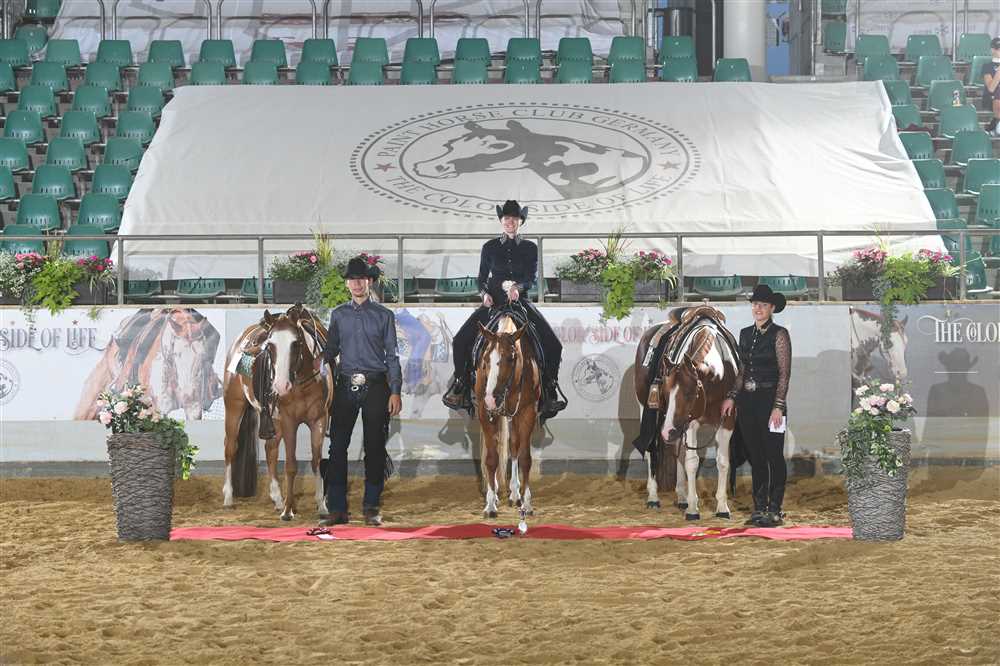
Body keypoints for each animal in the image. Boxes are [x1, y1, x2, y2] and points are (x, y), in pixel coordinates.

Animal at [222, 304, 334, 520]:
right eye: (270, 346)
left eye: (296, 343)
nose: (281, 386)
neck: (302, 383)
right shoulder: (289, 421)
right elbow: (290, 465)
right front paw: (288, 511)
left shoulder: (319, 419)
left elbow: (316, 461)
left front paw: (322, 505)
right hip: (234, 407)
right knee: (230, 447)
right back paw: (229, 498)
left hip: (274, 420)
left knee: (270, 450)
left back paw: (277, 498)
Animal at [474, 312, 541, 518]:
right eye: (485, 359)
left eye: (511, 358)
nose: (491, 399)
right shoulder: (484, 412)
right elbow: (491, 459)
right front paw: (490, 505)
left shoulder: (528, 411)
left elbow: (524, 458)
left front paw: (527, 503)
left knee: (514, 447)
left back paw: (514, 494)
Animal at [634, 307, 740, 520]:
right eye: (665, 392)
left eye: (690, 393)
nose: (667, 431)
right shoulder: (690, 423)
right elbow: (692, 462)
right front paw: (693, 508)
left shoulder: (727, 420)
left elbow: (723, 462)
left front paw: (722, 507)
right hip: (650, 411)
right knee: (651, 449)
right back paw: (653, 497)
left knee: (678, 451)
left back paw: (681, 496)